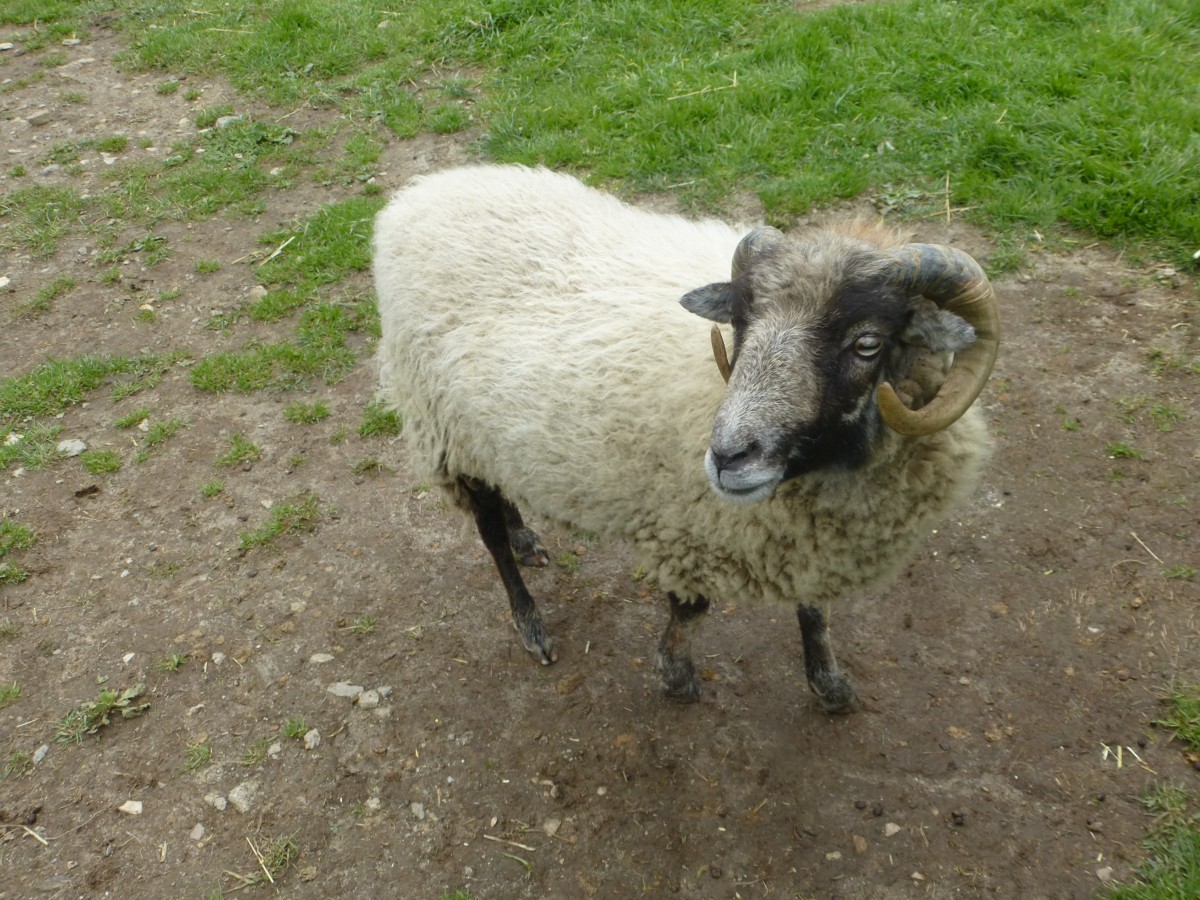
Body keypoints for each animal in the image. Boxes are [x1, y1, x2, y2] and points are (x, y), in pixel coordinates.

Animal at [372, 162, 993, 710]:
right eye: (740, 323)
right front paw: (674, 674)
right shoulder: (688, 524)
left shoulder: (806, 538)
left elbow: (814, 609)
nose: (727, 457)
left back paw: (526, 537)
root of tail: (416, 197)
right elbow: (690, 612)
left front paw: (829, 683)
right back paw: (530, 623)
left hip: (484, 430)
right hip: (442, 425)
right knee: (489, 534)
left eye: (867, 344)